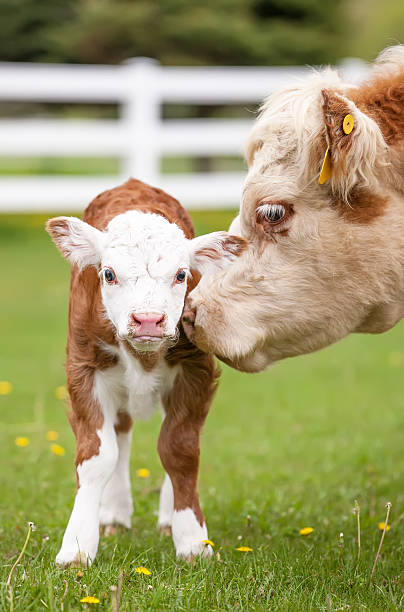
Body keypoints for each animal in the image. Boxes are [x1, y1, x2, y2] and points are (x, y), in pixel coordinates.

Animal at [45, 179, 245, 568]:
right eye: (109, 274)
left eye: (181, 274)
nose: (149, 320)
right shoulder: (83, 369)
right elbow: (97, 456)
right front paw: (77, 546)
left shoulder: (196, 369)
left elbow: (179, 448)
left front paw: (192, 540)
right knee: (120, 435)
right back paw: (114, 514)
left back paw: (167, 518)